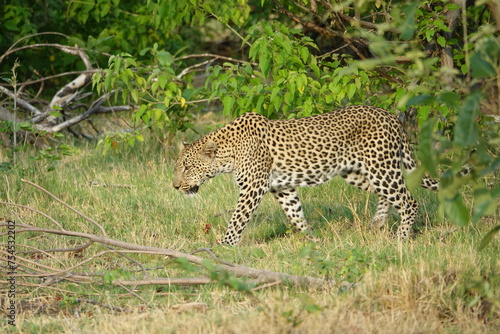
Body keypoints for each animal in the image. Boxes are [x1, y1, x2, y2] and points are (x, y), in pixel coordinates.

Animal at [173, 106, 438, 245]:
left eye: (187, 167)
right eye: (178, 167)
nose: (175, 186)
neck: (228, 154)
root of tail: (391, 116)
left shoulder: (253, 188)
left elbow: (238, 219)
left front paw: (223, 246)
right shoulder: (282, 188)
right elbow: (295, 214)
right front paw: (312, 238)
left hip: (382, 168)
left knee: (409, 201)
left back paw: (401, 238)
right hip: (358, 173)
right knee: (390, 195)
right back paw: (377, 222)